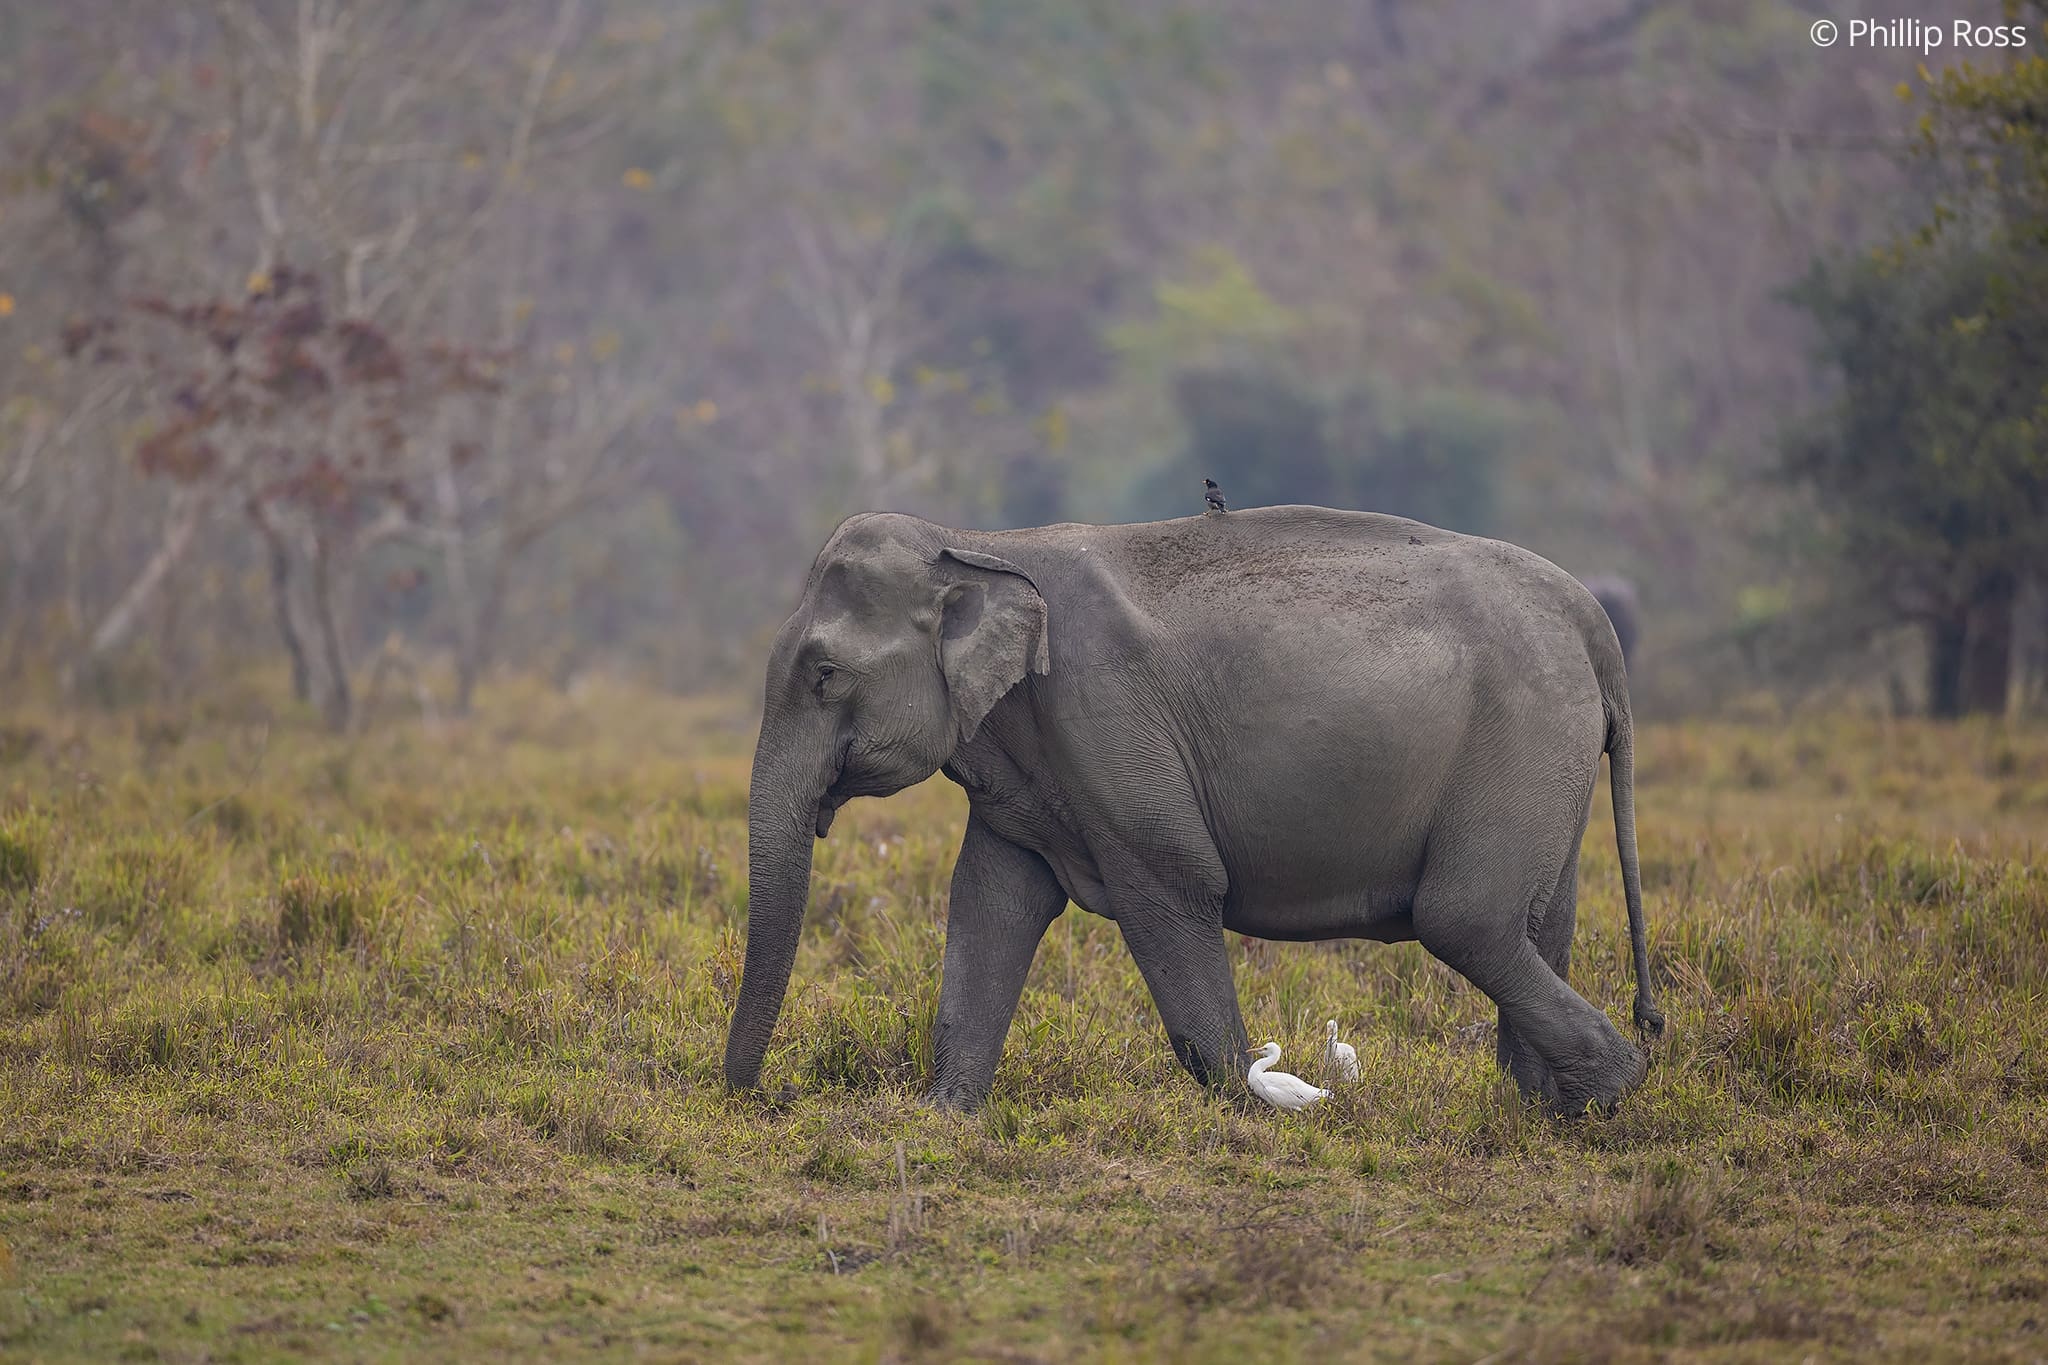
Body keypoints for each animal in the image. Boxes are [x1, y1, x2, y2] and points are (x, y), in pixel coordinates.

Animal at [720, 507, 1662, 1113]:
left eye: (824, 674)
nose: (758, 1096)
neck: (981, 544)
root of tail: (1595, 624)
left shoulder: (1105, 719)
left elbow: (1171, 885)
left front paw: (1246, 1109)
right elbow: (991, 900)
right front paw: (940, 1117)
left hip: (1522, 738)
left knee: (1465, 917)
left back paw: (1609, 1091)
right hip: (1548, 763)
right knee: (1538, 919)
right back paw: (1538, 1109)